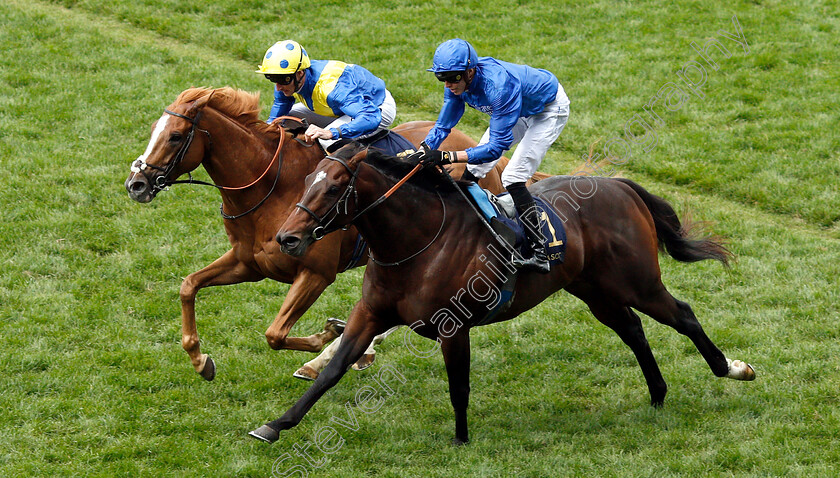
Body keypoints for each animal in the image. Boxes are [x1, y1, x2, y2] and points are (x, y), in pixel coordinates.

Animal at [124, 87, 544, 380]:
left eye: (176, 136)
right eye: (154, 130)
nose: (136, 184)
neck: (272, 188)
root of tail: (482, 154)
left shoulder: (316, 273)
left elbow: (275, 333)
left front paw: (326, 338)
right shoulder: (248, 263)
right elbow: (188, 286)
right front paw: (200, 360)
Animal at [253, 146, 756, 444]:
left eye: (335, 187)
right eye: (307, 181)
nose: (287, 239)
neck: (417, 242)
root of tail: (620, 185)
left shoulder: (453, 327)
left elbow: (459, 385)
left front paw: (460, 439)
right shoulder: (371, 313)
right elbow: (332, 370)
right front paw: (275, 425)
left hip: (638, 281)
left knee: (682, 314)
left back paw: (732, 369)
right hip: (594, 289)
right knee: (632, 329)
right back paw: (657, 393)